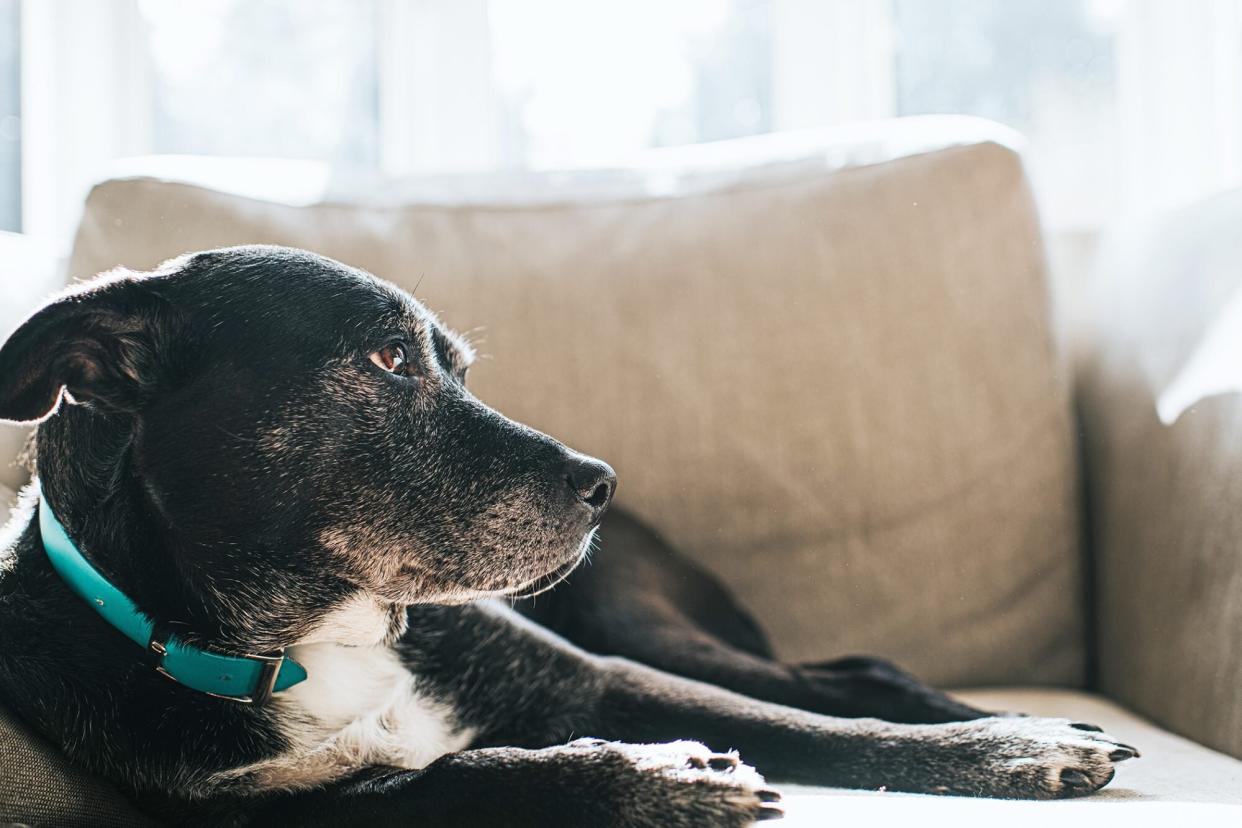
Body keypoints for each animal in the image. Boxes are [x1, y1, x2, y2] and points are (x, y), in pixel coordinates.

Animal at [0, 248, 1137, 828]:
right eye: (386, 361)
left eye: (455, 367)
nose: (601, 483)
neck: (307, 641)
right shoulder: (254, 816)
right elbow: (456, 779)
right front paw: (652, 778)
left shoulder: (593, 675)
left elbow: (823, 733)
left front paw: (1012, 747)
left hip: (642, 622)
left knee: (846, 680)